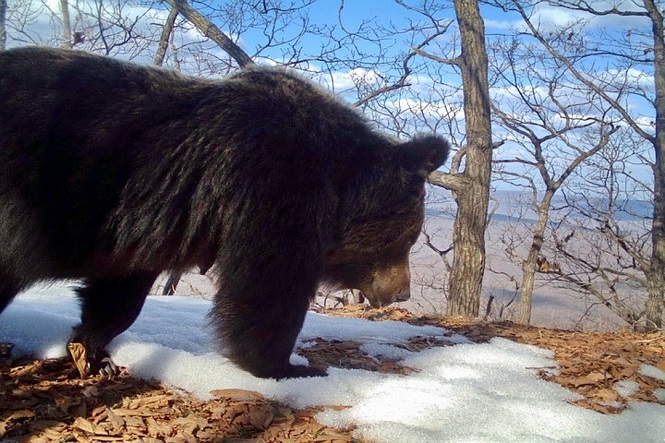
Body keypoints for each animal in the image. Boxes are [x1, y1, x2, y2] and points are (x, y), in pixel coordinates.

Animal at [0, 49, 448, 382]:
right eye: (406, 239)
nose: (402, 292)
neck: (338, 182)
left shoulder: (143, 224)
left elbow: (120, 289)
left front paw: (93, 349)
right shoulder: (273, 180)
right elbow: (266, 282)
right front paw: (288, 366)